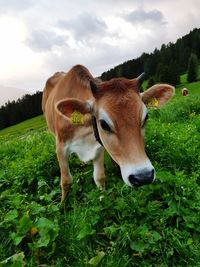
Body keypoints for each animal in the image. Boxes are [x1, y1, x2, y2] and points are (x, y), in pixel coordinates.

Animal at [41, 66, 173, 202]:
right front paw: (63, 204)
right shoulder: (60, 147)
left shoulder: (98, 146)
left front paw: (104, 199)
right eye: (104, 124)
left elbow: (99, 177)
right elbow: (66, 181)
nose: (143, 176)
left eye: (146, 117)